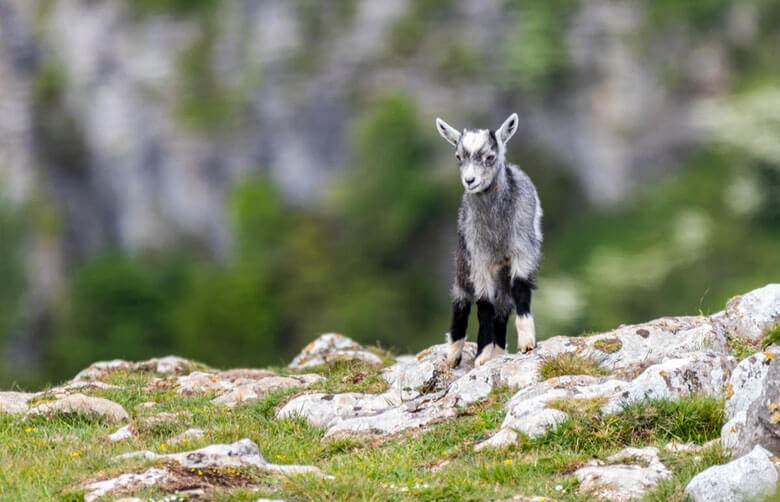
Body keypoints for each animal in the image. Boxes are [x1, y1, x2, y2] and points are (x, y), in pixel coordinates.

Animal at [432, 113, 544, 366]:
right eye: (458, 157)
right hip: (463, 259)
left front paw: (526, 343)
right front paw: (482, 355)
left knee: (502, 308)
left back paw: (500, 352)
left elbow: (520, 290)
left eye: (490, 157)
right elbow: (483, 306)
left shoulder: (523, 249)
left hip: (502, 272)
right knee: (462, 300)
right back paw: (453, 355)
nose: (470, 180)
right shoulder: (479, 259)